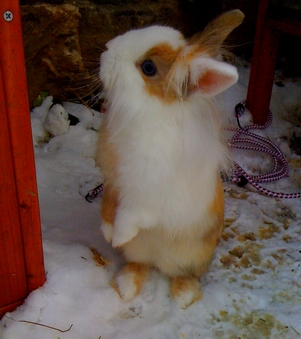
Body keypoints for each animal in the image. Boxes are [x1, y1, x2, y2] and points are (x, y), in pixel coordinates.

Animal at [96, 9, 244, 310]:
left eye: (148, 67)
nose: (106, 50)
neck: (146, 113)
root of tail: (159, 261)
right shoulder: (113, 180)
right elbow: (108, 206)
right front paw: (107, 232)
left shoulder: (147, 197)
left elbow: (129, 215)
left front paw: (118, 236)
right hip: (139, 252)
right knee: (140, 264)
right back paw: (127, 285)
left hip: (194, 255)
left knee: (185, 275)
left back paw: (183, 294)